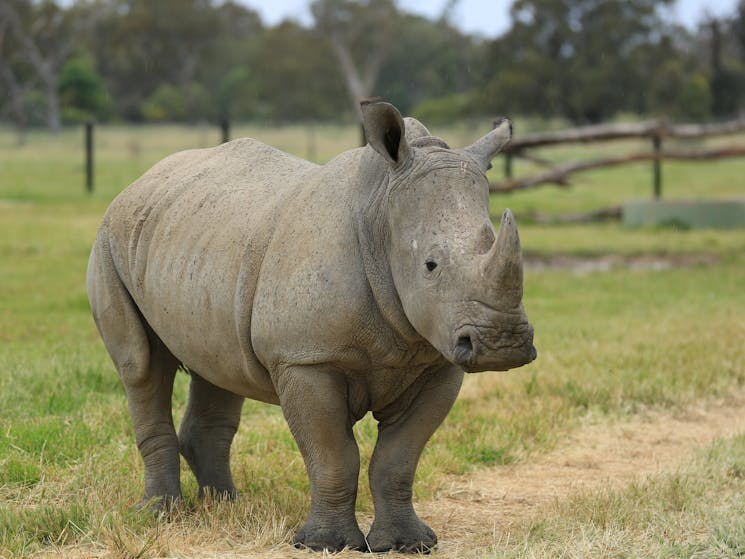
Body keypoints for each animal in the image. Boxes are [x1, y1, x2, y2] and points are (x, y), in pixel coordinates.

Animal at [87, 99, 536, 552]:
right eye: (430, 265)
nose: (503, 345)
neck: (380, 213)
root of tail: (139, 182)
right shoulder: (306, 358)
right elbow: (334, 455)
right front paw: (325, 544)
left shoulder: (437, 360)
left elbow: (398, 459)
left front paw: (407, 545)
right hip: (111, 239)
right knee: (141, 366)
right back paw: (159, 514)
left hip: (195, 241)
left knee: (219, 365)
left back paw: (227, 509)